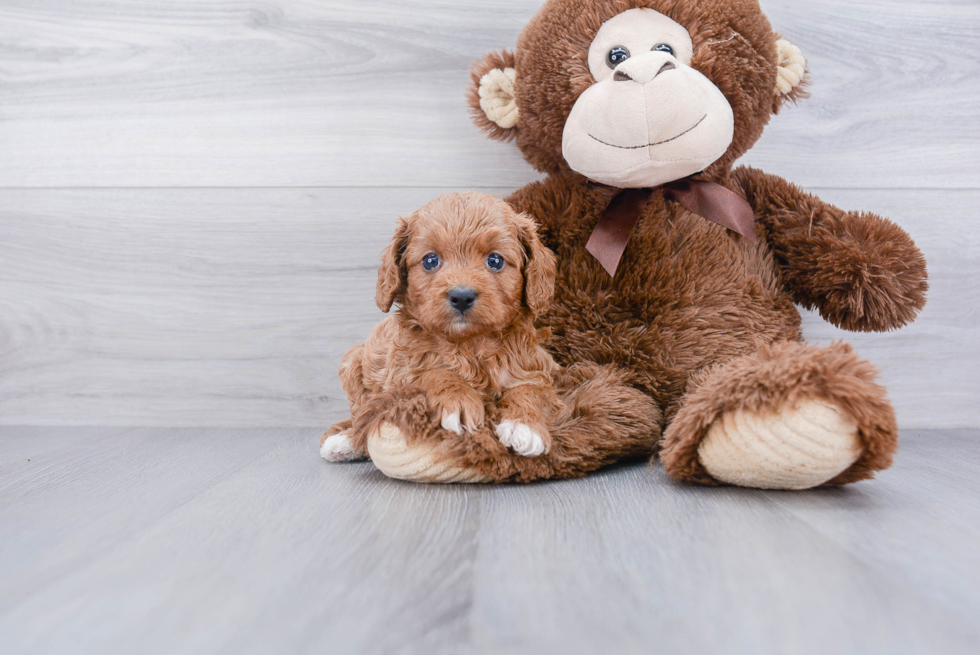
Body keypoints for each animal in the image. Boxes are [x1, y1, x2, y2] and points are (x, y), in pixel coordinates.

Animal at [322, 192, 560, 464]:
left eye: (495, 260)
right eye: (430, 260)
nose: (462, 296)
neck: (469, 342)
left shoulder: (534, 366)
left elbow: (532, 390)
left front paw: (525, 425)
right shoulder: (402, 374)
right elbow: (434, 372)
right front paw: (459, 401)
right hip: (353, 363)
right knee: (361, 414)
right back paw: (345, 441)